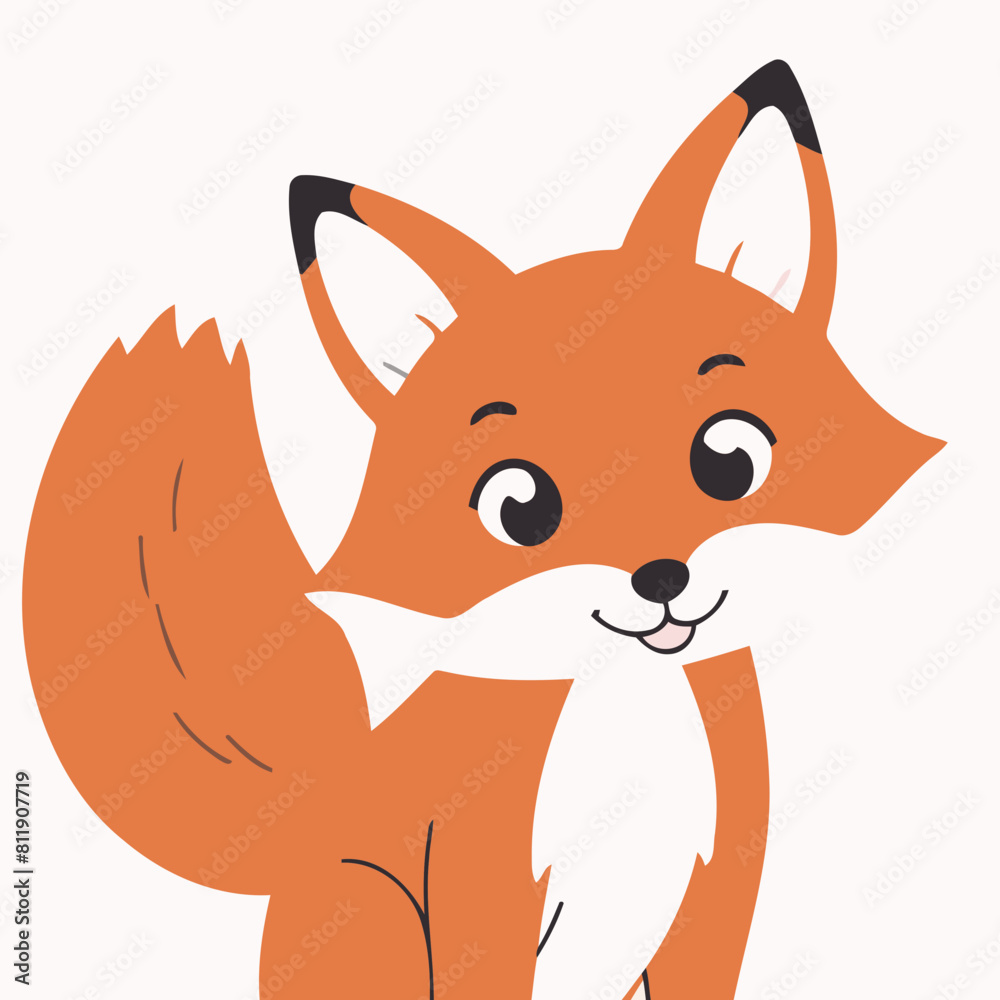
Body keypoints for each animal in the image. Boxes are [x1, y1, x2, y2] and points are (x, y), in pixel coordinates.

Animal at [23, 60, 941, 1000]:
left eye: (729, 459)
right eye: (519, 508)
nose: (660, 576)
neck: (633, 724)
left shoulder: (715, 895)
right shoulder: (484, 894)